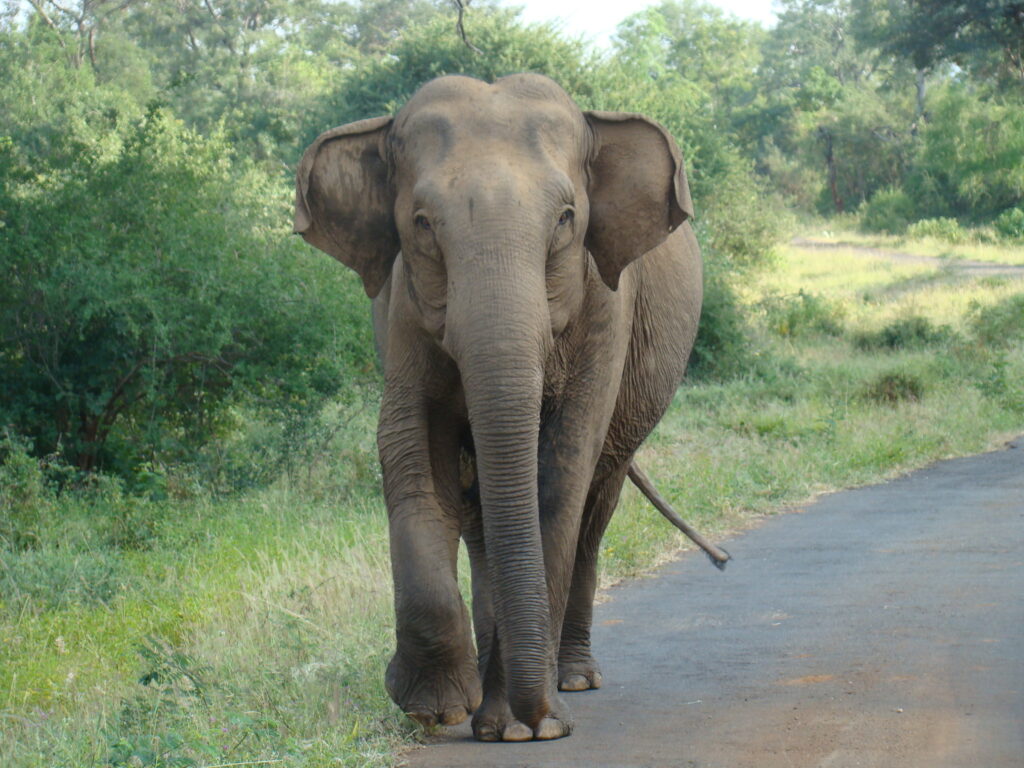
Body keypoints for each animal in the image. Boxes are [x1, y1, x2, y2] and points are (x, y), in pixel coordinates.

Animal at [292, 75, 700, 741]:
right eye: (422, 224)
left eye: (565, 220)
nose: (541, 718)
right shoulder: (404, 310)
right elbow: (412, 451)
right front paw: (440, 708)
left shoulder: (606, 307)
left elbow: (559, 476)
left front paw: (525, 728)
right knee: (480, 515)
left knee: (595, 506)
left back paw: (573, 680)